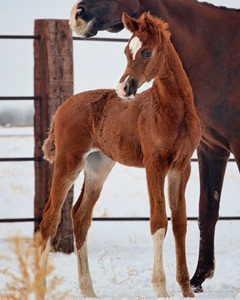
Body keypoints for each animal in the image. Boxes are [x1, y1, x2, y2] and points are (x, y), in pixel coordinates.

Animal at [39, 11, 201, 298]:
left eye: (147, 52)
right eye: (127, 51)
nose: (124, 88)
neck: (174, 112)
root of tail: (61, 108)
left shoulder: (182, 167)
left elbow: (180, 223)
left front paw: (186, 289)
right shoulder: (154, 165)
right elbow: (159, 221)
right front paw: (161, 288)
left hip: (98, 167)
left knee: (80, 216)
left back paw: (88, 290)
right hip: (68, 161)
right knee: (50, 218)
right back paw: (40, 288)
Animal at [69, 0, 240, 292]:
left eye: (147, 52)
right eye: (127, 51)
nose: (76, 15)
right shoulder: (207, 150)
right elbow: (202, 211)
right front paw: (193, 280)